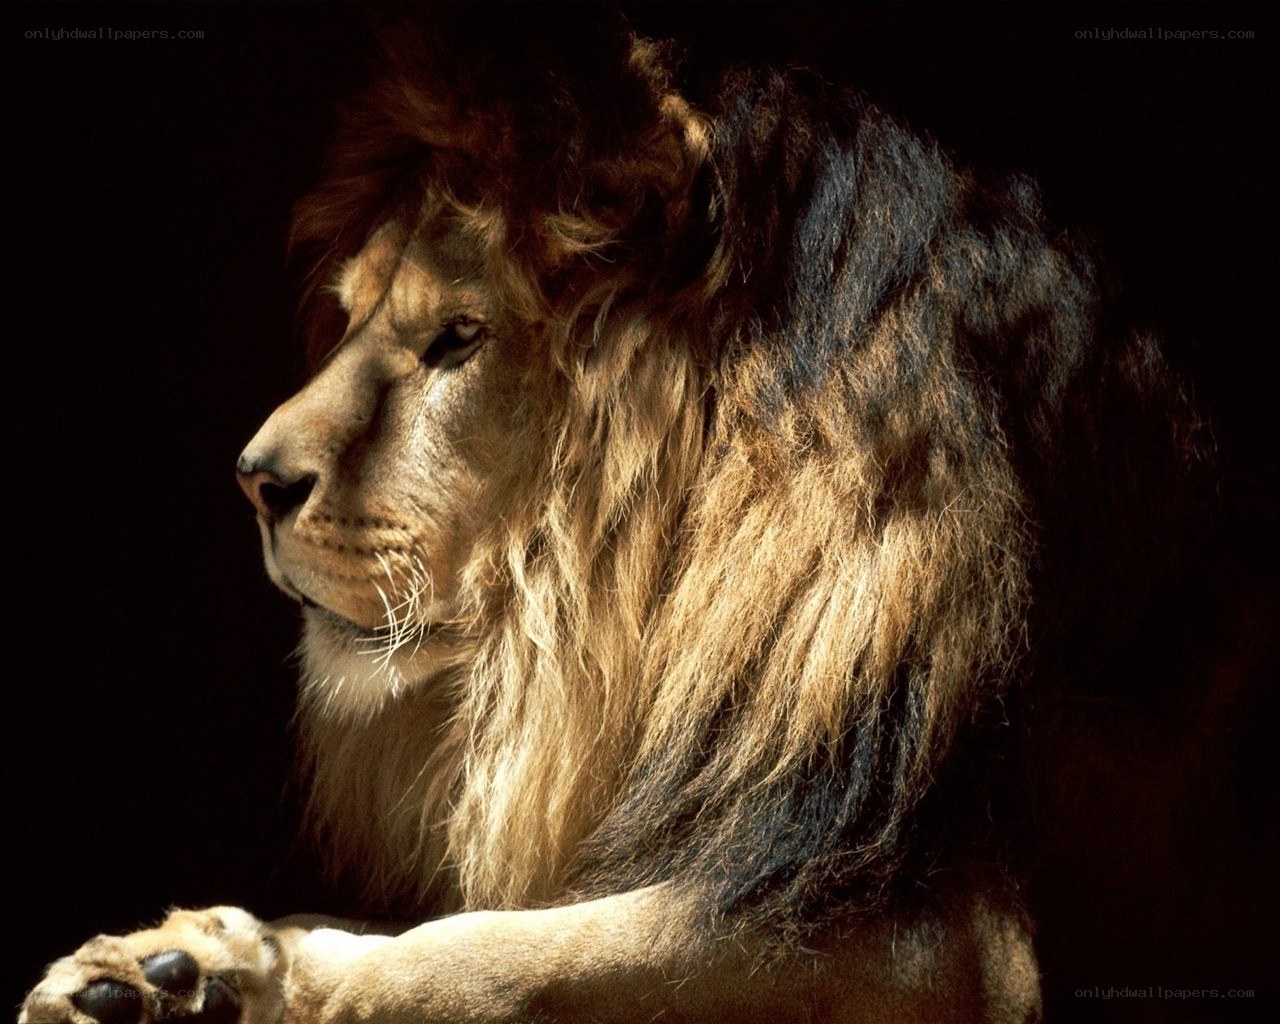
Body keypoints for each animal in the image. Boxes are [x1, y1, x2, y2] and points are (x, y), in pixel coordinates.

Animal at [24, 12, 1254, 1024]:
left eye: (458, 338)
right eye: (351, 313)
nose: (255, 479)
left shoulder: (960, 945)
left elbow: (477, 955)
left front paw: (289, 984)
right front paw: (179, 969)